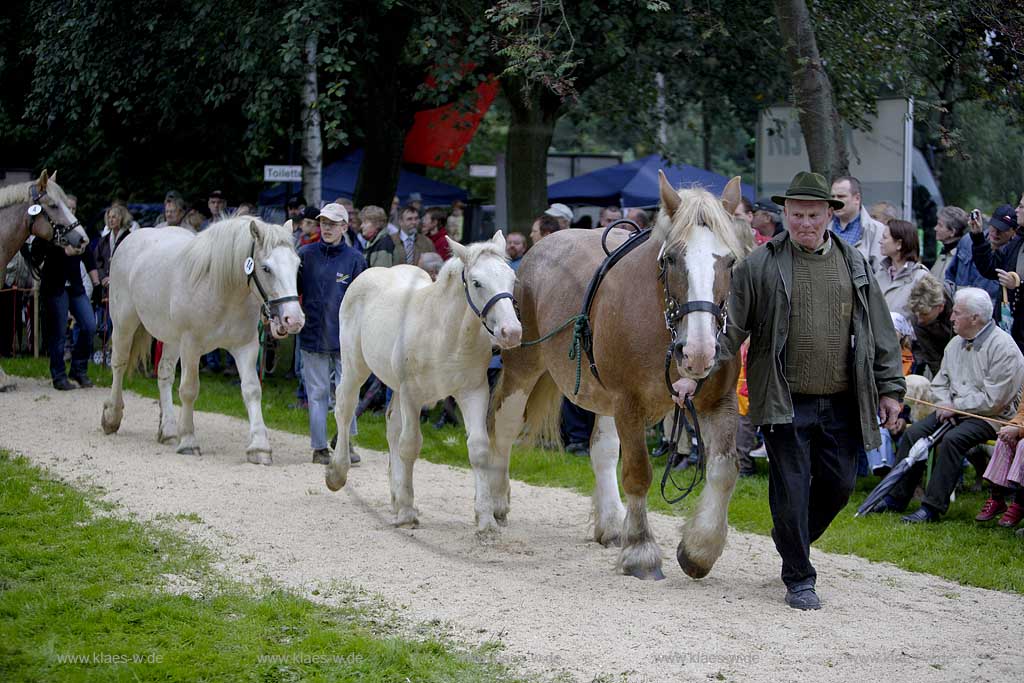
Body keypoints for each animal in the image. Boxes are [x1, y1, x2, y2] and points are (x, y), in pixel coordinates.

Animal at [101, 219, 305, 464]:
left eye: (297, 265)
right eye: (266, 268)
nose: (294, 319)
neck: (221, 290)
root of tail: (130, 239)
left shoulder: (246, 347)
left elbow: (252, 390)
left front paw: (259, 447)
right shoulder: (191, 345)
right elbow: (189, 389)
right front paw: (189, 441)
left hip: (171, 339)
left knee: (164, 374)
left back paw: (169, 430)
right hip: (124, 323)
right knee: (119, 364)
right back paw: (112, 417)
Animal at [325, 232, 524, 532]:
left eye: (512, 279)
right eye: (477, 283)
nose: (511, 332)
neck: (445, 336)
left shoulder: (473, 392)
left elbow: (479, 448)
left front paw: (486, 518)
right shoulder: (412, 395)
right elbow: (410, 445)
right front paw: (408, 513)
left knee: (391, 425)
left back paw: (396, 497)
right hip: (354, 366)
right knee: (345, 409)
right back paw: (338, 474)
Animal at [483, 174, 749, 581]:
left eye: (730, 261)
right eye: (672, 259)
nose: (699, 351)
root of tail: (537, 247)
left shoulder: (716, 401)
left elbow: (724, 470)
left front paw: (698, 550)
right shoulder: (630, 403)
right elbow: (638, 473)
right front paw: (640, 551)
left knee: (602, 450)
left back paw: (611, 523)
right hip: (523, 367)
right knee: (506, 425)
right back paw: (496, 501)